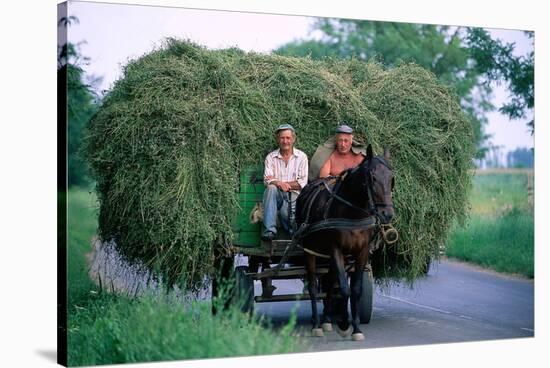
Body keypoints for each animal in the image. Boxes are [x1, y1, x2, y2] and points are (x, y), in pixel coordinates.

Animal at [298, 145, 396, 340]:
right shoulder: (336, 249)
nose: (387, 214)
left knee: (329, 283)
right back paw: (316, 324)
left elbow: (355, 289)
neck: (352, 212)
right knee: (313, 286)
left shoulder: (362, 252)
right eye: (372, 177)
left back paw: (327, 320)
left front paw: (356, 328)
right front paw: (344, 324)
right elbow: (344, 288)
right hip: (309, 251)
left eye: (391, 179)